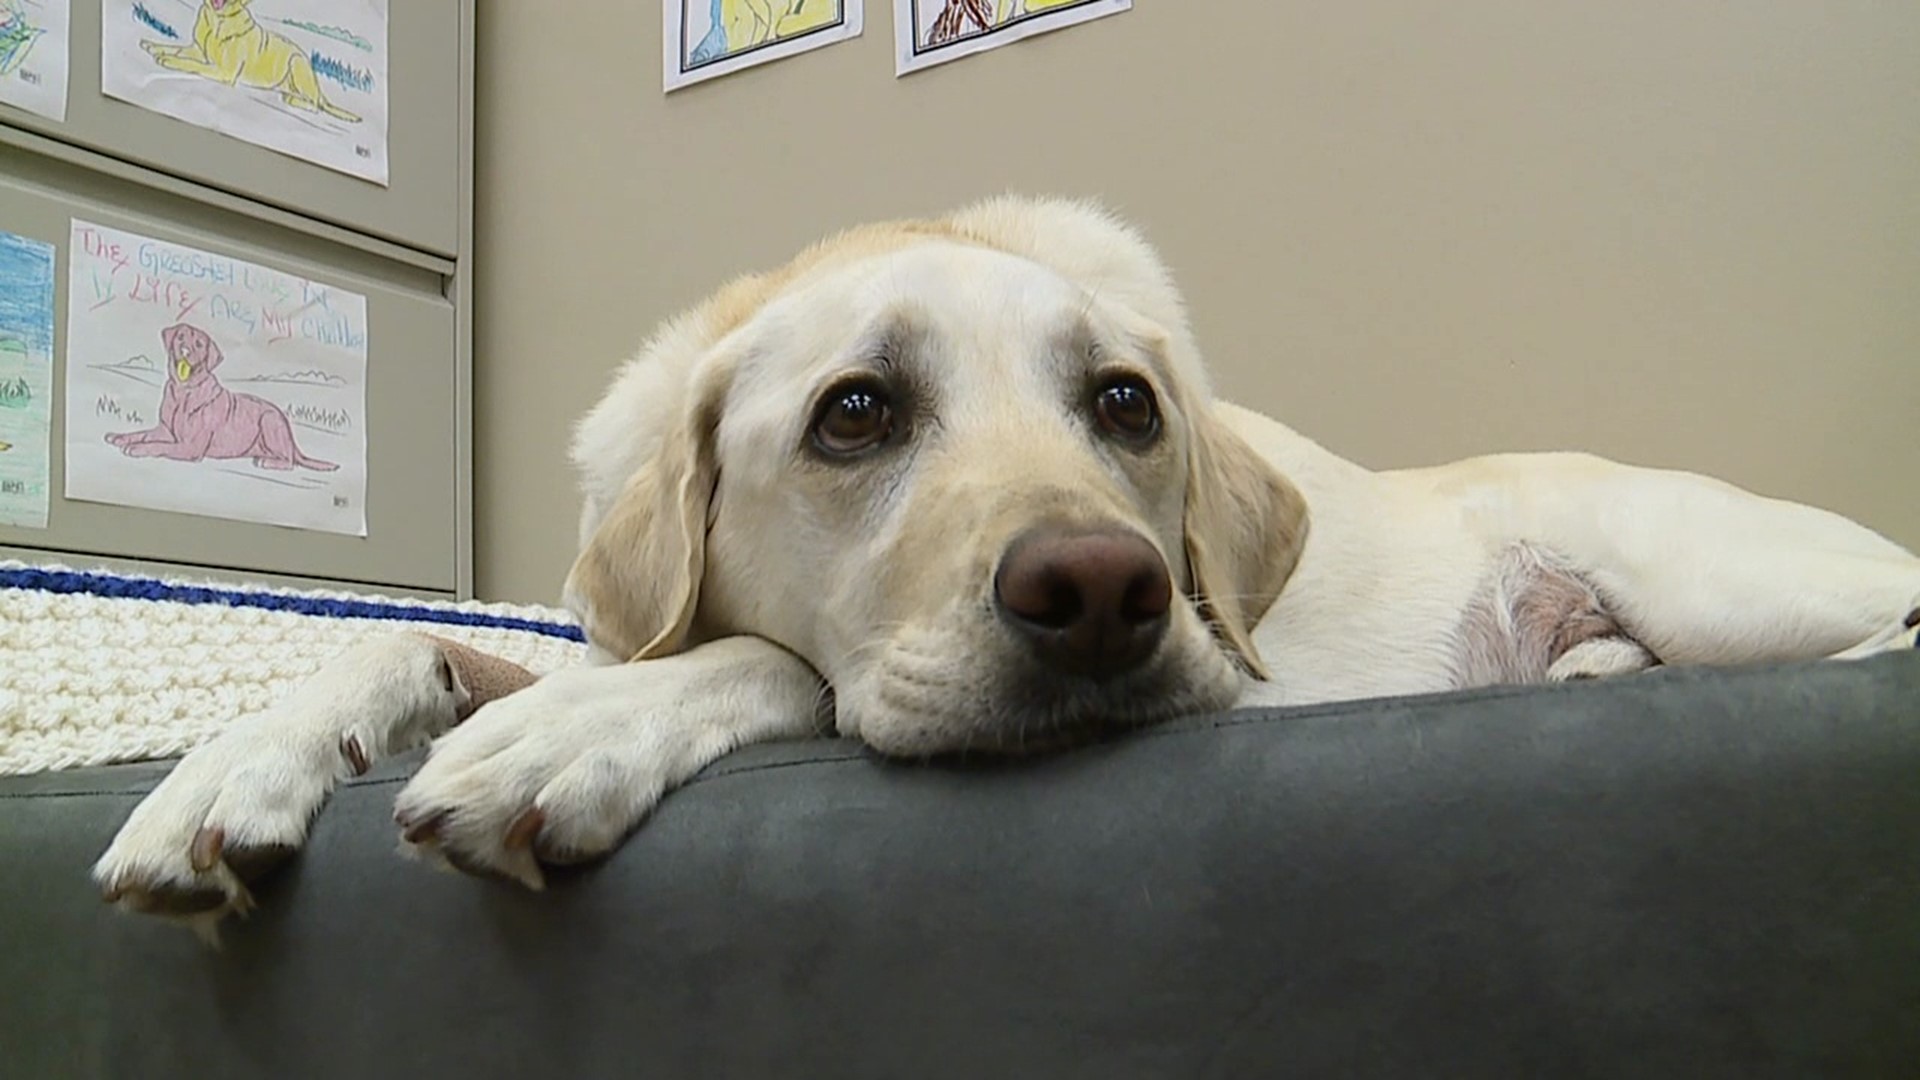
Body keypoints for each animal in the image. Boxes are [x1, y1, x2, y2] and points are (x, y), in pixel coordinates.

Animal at [90, 195, 1920, 933]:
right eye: (855, 413)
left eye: (1125, 403)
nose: (1105, 593)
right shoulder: (601, 617)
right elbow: (396, 650)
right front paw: (228, 774)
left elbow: (767, 662)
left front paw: (565, 738)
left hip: (1699, 565)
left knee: (1885, 630)